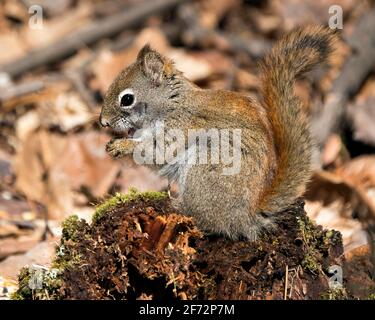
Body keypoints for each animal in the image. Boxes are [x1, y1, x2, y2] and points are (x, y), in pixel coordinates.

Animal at [98, 25, 336, 240]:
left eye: (127, 99)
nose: (103, 122)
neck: (172, 104)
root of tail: (247, 214)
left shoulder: (180, 127)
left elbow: (156, 153)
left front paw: (122, 146)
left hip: (206, 167)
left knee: (205, 220)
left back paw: (173, 205)